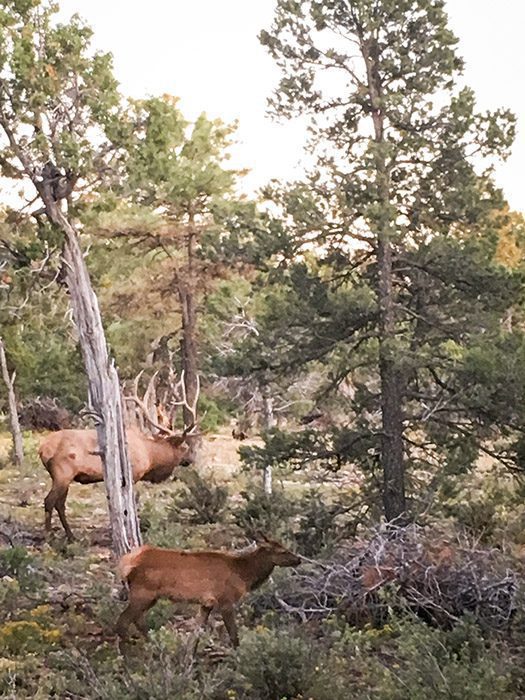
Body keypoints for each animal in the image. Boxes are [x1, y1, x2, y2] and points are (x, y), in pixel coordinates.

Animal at [39, 371, 199, 541]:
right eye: (184, 446)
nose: (191, 459)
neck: (150, 455)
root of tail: (42, 449)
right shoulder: (132, 475)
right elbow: (130, 504)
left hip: (64, 477)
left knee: (60, 504)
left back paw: (71, 536)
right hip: (62, 473)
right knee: (49, 501)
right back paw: (48, 536)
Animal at [115, 533, 302, 648]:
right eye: (282, 551)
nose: (298, 559)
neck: (243, 574)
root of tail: (126, 563)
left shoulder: (207, 603)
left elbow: (195, 638)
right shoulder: (225, 600)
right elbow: (234, 635)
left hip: (150, 596)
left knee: (138, 621)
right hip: (143, 593)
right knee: (123, 621)